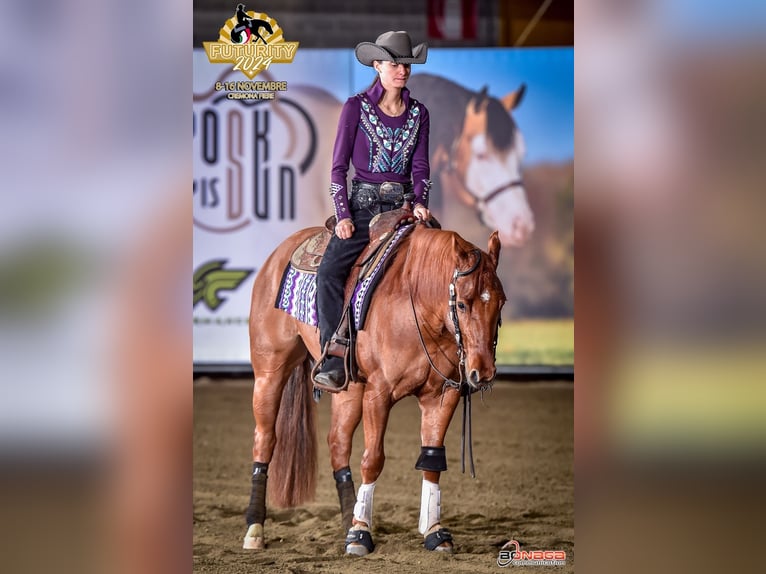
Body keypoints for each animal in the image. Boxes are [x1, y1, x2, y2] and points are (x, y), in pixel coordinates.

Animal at [242, 221, 506, 555]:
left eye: (501, 302)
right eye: (461, 302)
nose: (482, 373)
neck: (417, 303)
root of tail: (278, 254)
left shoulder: (442, 396)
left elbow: (432, 460)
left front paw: (435, 532)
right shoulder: (378, 393)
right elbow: (373, 460)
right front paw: (361, 535)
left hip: (348, 388)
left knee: (338, 444)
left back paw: (348, 522)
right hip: (270, 372)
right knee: (265, 440)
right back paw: (255, 529)